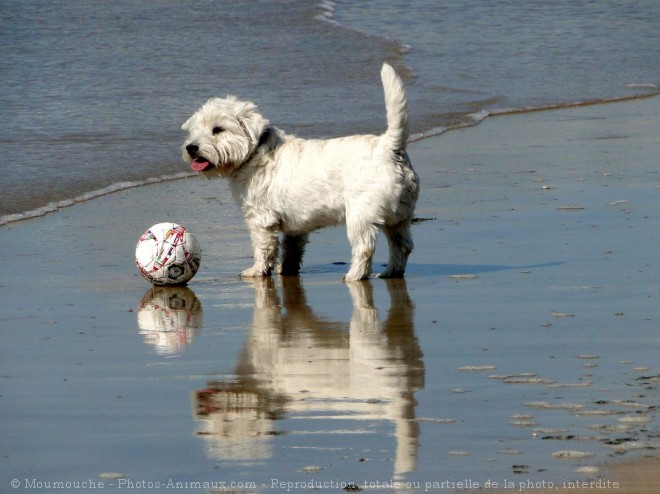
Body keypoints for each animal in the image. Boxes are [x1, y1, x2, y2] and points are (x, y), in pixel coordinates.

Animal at [180, 64, 418, 282]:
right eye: (195, 130)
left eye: (218, 129)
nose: (191, 148)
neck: (256, 152)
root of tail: (389, 147)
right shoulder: (295, 224)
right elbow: (291, 249)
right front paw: (285, 269)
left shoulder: (260, 218)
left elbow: (263, 247)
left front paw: (256, 270)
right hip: (399, 216)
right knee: (403, 245)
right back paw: (390, 272)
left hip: (361, 214)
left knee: (364, 247)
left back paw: (354, 275)